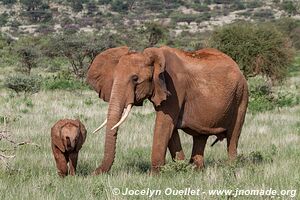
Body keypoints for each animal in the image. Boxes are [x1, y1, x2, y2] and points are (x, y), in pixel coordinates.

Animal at [86, 46, 248, 174]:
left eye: (135, 79)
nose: (94, 173)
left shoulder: (174, 87)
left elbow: (164, 124)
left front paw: (155, 176)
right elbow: (171, 129)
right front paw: (181, 169)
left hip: (241, 96)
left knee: (233, 136)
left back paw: (231, 169)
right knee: (200, 137)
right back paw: (197, 170)